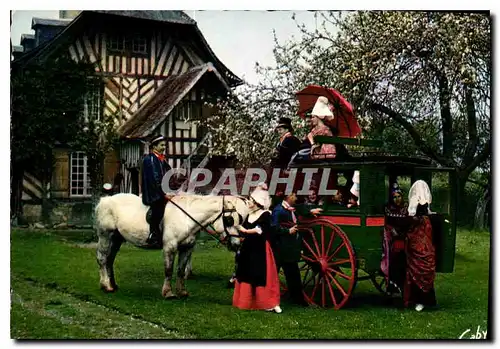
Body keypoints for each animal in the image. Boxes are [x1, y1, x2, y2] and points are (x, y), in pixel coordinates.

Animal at [94, 192, 250, 298]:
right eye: (229, 220)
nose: (238, 243)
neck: (186, 218)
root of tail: (105, 200)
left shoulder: (186, 248)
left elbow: (180, 271)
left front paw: (182, 292)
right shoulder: (170, 247)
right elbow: (168, 270)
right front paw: (168, 292)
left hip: (116, 239)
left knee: (110, 260)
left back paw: (113, 284)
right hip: (106, 235)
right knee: (102, 258)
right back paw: (105, 286)